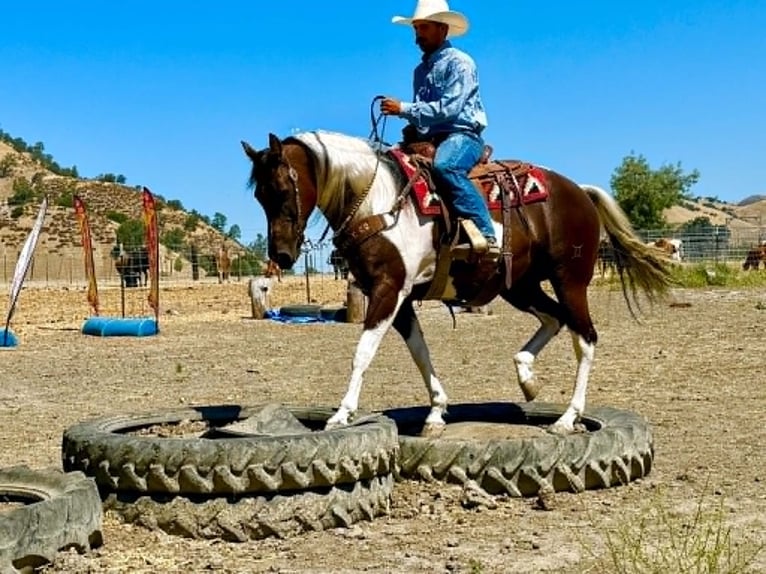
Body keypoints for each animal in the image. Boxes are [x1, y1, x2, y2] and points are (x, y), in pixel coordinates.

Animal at [241, 130, 672, 435]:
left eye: (282, 189)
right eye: (259, 196)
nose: (282, 256)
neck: (377, 200)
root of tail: (580, 192)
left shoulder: (388, 289)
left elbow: (362, 353)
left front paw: (342, 414)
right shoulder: (402, 299)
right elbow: (420, 352)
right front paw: (436, 411)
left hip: (570, 280)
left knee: (585, 337)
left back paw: (567, 417)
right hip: (519, 286)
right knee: (554, 319)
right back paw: (527, 378)